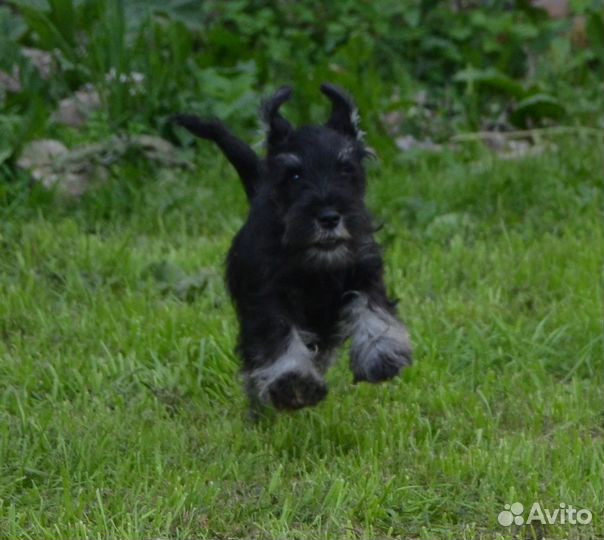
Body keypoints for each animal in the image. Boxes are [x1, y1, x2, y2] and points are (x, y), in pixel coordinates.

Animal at [172, 85, 412, 414]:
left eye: (345, 170)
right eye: (295, 175)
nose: (328, 217)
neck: (316, 262)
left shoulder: (364, 271)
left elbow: (372, 308)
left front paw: (382, 354)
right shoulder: (268, 298)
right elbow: (279, 337)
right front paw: (294, 382)